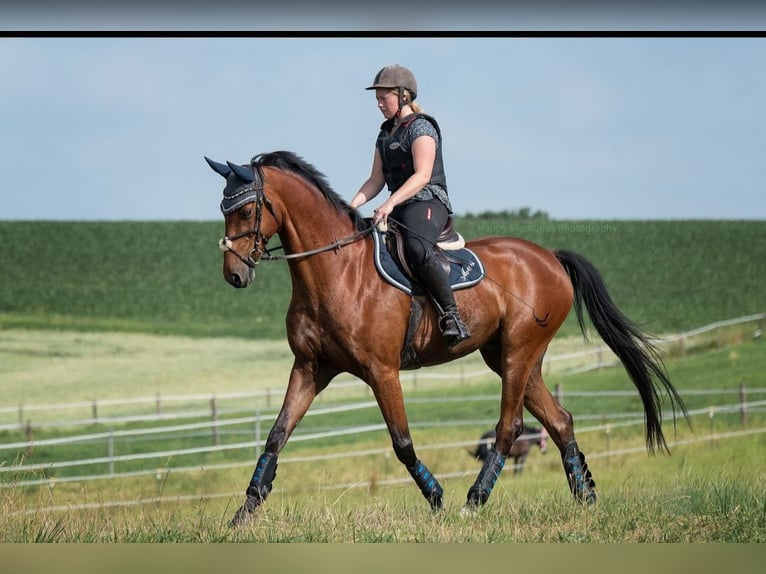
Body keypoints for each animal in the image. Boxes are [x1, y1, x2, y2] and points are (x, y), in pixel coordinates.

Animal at [204, 151, 688, 528]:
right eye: (223, 209)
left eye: (245, 211)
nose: (234, 275)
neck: (334, 271)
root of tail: (550, 258)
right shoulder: (311, 368)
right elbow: (276, 436)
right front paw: (244, 512)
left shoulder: (382, 371)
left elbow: (402, 443)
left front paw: (436, 498)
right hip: (512, 357)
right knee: (560, 420)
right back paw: (584, 496)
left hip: (518, 352)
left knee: (509, 428)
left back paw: (475, 501)